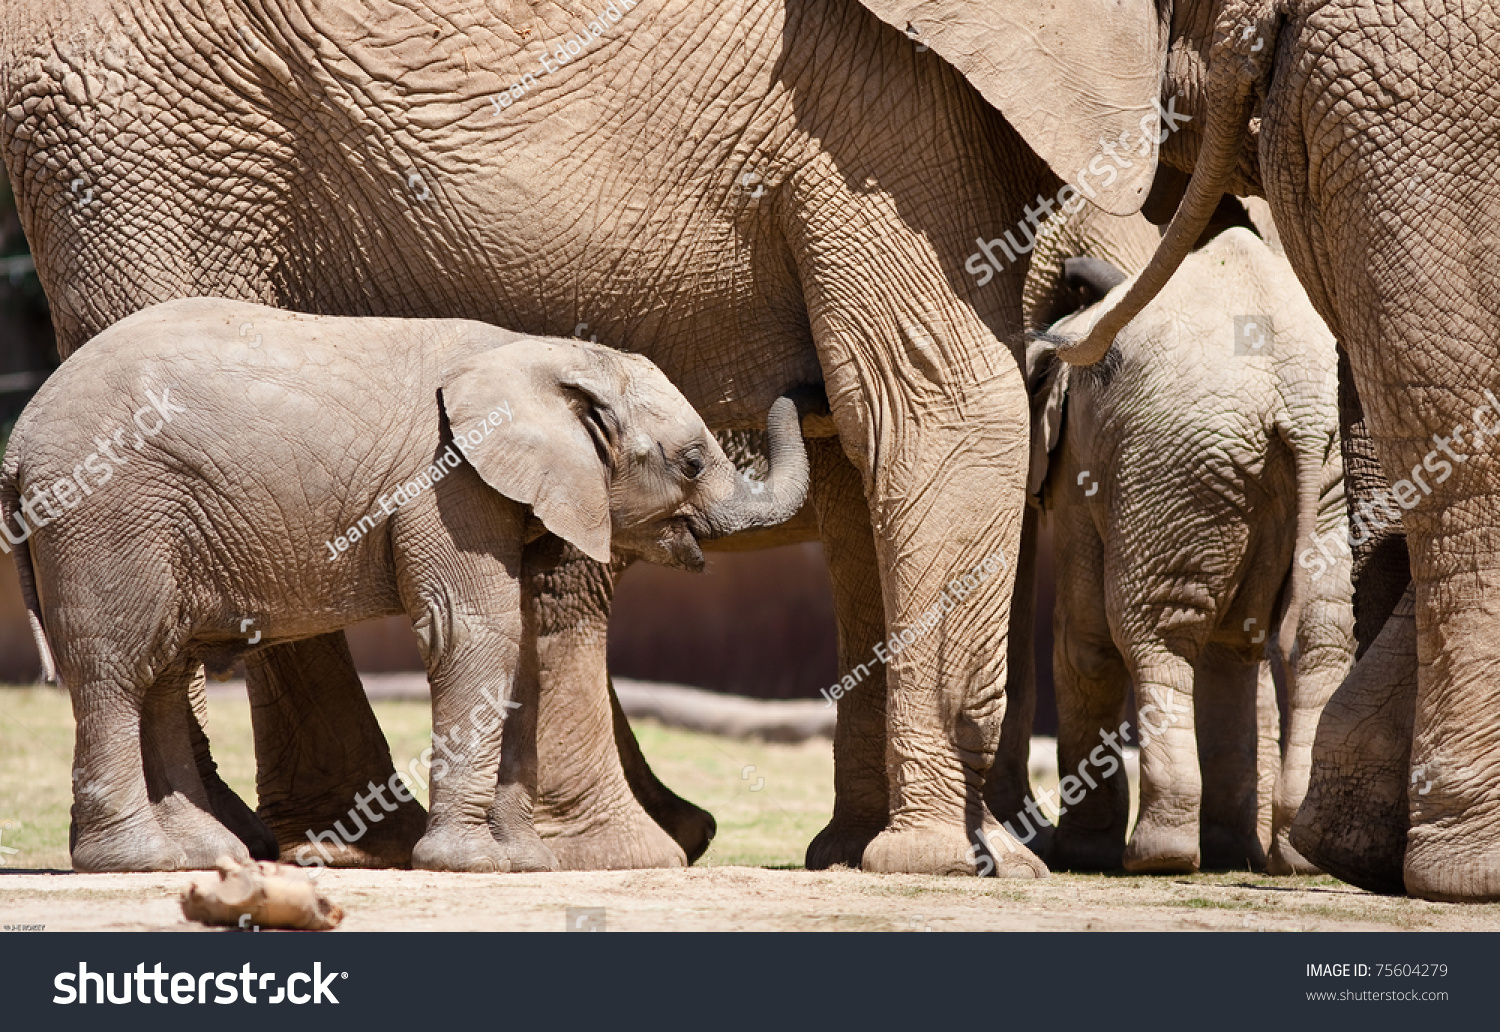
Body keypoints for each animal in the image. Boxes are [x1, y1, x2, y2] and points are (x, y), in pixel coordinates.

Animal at [0, 298, 810, 870]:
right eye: (693, 462)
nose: (801, 386)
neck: (536, 353)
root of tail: (18, 440)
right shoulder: (446, 484)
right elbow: (474, 631)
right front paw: (470, 864)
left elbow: (519, 646)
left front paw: (526, 864)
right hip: (105, 513)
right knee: (118, 666)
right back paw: (136, 861)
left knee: (163, 668)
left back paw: (202, 857)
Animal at [1026, 229, 1356, 876]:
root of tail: (1300, 403)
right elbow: (1234, 645)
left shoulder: (1082, 463)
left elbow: (1084, 637)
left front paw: (1076, 854)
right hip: (1322, 472)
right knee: (1318, 635)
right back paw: (1295, 856)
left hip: (1176, 465)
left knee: (1153, 635)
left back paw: (1159, 857)